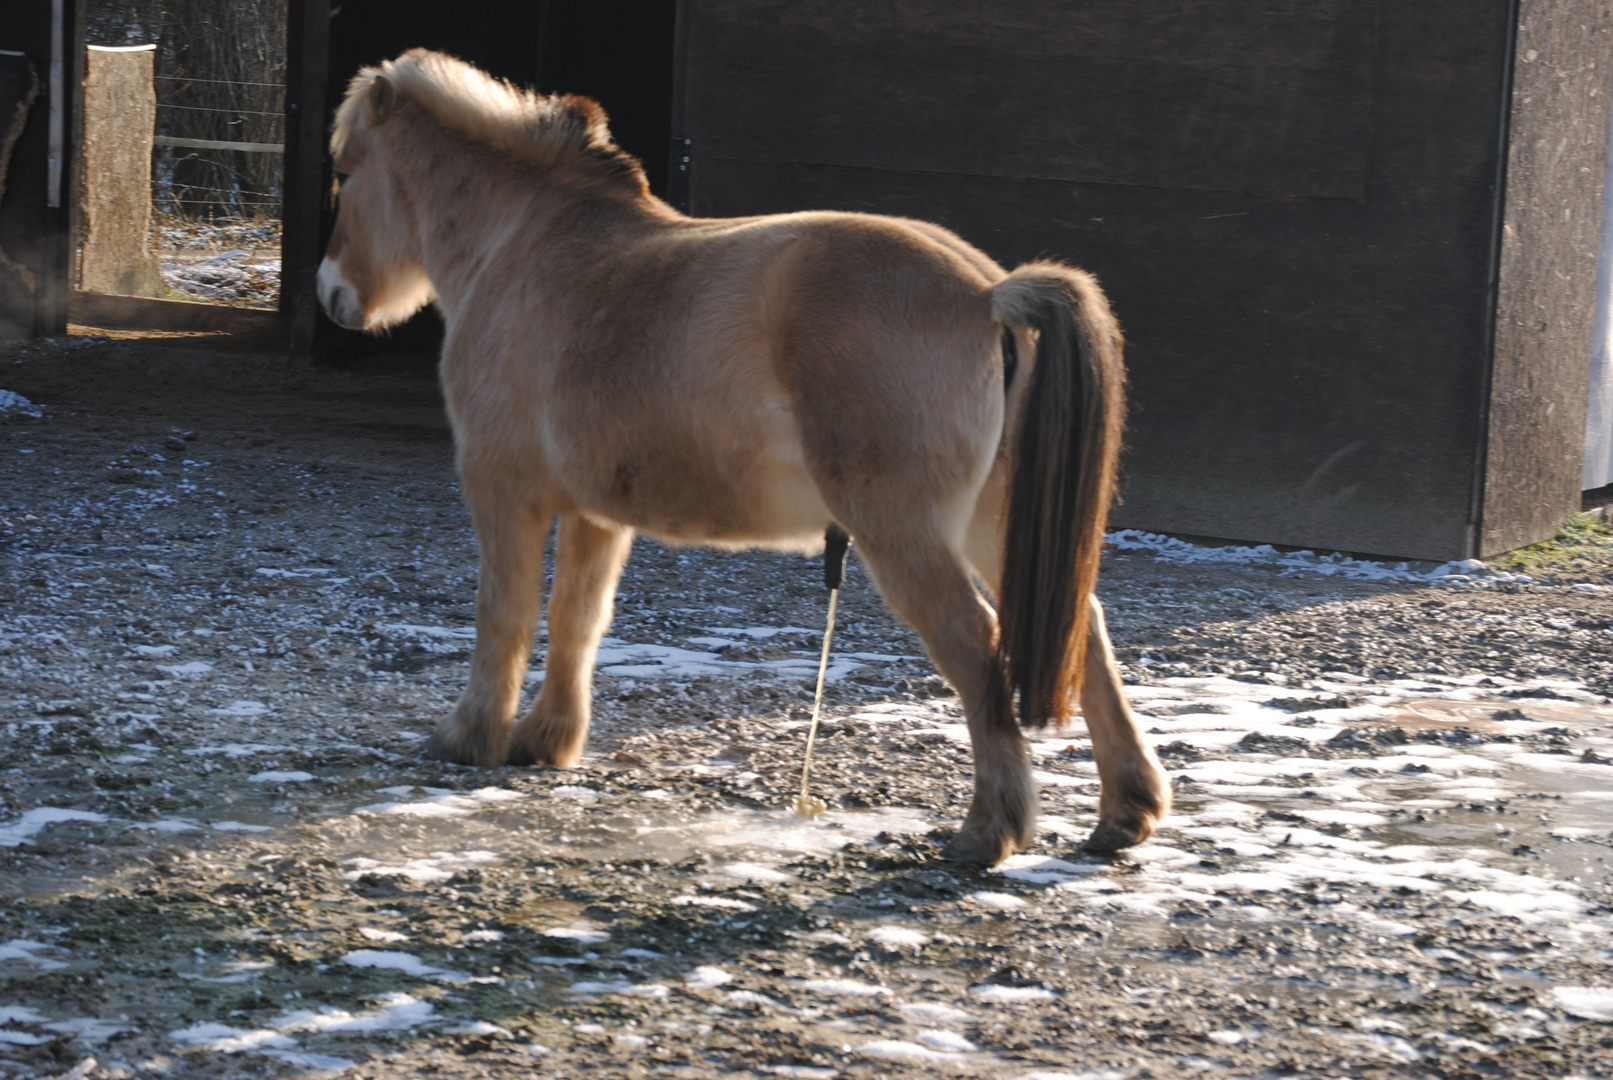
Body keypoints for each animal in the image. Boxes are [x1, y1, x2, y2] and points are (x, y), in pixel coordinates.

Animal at [317, 50, 1174, 870]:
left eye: (345, 174)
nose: (330, 293)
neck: (525, 244)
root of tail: (986, 294)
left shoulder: (501, 491)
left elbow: (505, 614)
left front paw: (469, 736)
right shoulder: (596, 513)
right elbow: (575, 619)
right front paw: (546, 740)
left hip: (905, 533)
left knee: (975, 646)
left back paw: (988, 831)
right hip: (996, 524)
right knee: (1083, 631)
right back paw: (1122, 813)